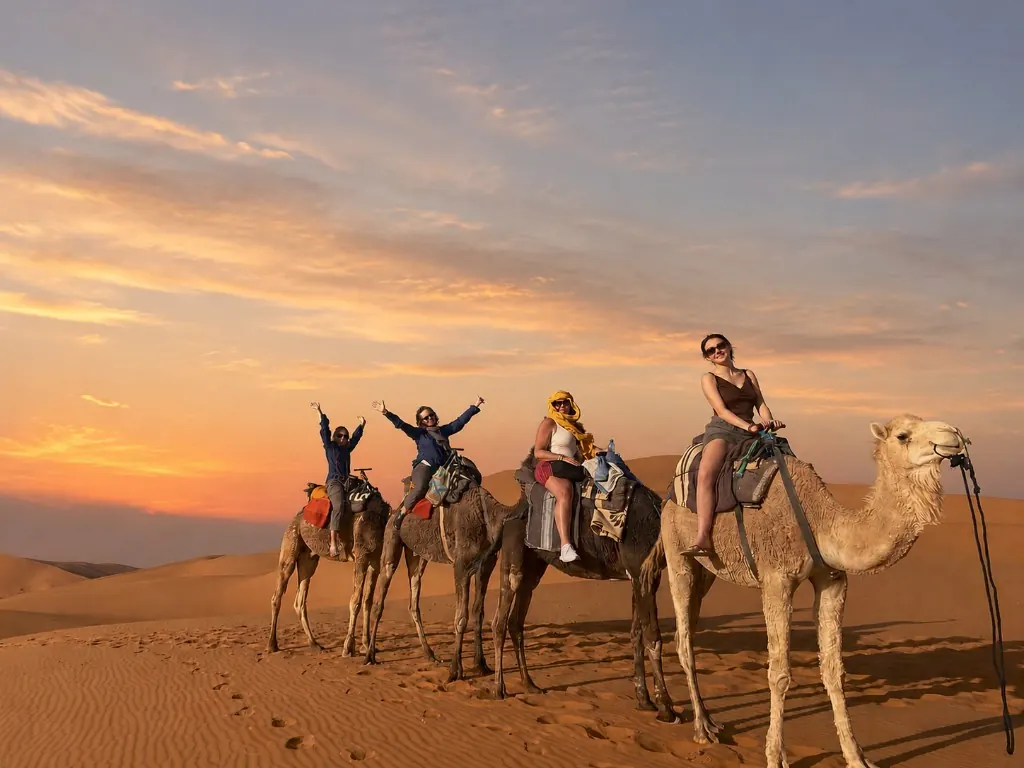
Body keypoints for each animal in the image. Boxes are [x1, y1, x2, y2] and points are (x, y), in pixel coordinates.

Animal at [267, 476, 390, 656]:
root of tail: (298, 515)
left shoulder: (374, 561)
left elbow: (367, 600)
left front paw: (366, 645)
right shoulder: (361, 556)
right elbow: (356, 600)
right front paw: (348, 647)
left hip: (308, 559)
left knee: (300, 600)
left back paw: (314, 643)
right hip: (291, 541)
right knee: (278, 594)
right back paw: (272, 645)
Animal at [363, 483, 528, 683]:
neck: (493, 514)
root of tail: (395, 511)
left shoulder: (485, 565)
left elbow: (478, 613)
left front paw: (481, 665)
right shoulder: (461, 566)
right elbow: (461, 617)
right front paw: (455, 671)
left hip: (417, 555)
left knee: (414, 599)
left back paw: (430, 654)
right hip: (392, 540)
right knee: (380, 597)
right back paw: (370, 655)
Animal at [492, 457, 680, 724]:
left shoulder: (639, 577)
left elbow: (636, 634)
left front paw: (644, 700)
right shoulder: (644, 573)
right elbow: (653, 636)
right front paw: (667, 708)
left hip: (534, 565)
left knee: (516, 622)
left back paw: (530, 684)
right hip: (513, 555)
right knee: (500, 620)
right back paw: (499, 689)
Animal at [640, 414, 966, 768]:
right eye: (903, 435)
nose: (954, 435)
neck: (821, 523)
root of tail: (668, 495)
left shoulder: (832, 580)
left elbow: (834, 672)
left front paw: (856, 757)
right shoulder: (776, 580)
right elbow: (780, 674)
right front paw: (775, 756)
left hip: (707, 571)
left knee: (686, 630)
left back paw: (711, 721)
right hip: (677, 551)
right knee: (684, 638)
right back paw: (701, 728)